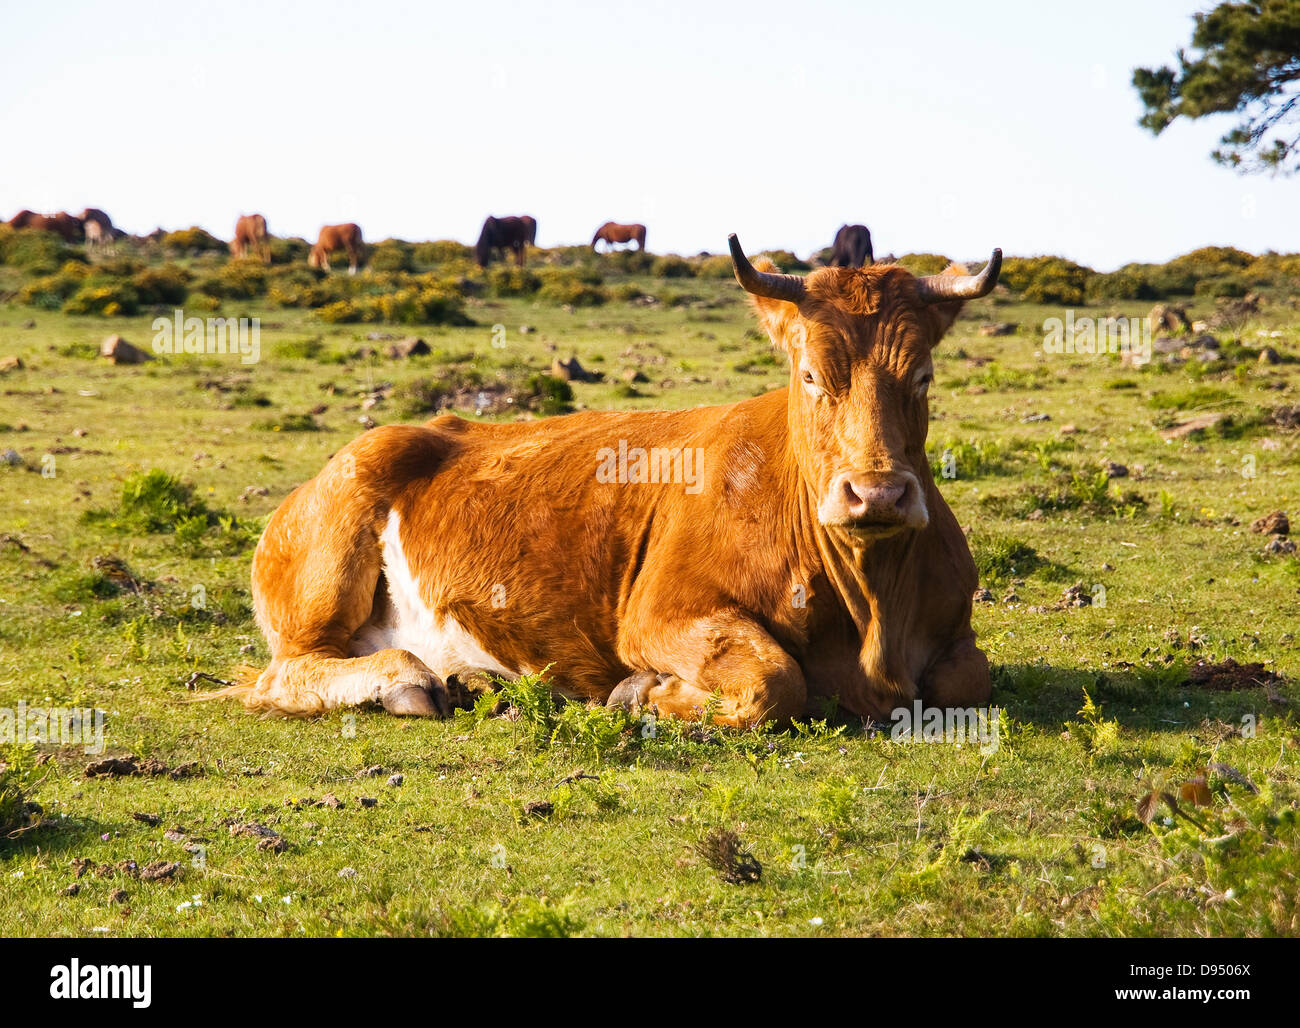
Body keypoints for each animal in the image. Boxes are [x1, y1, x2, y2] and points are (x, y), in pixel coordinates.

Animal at [205, 235, 1003, 732]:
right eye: (810, 375)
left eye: (923, 376)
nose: (877, 494)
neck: (872, 607)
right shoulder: (657, 615)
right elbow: (776, 680)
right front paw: (642, 693)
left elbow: (969, 680)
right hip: (328, 567)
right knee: (287, 672)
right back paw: (404, 679)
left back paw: (472, 681)